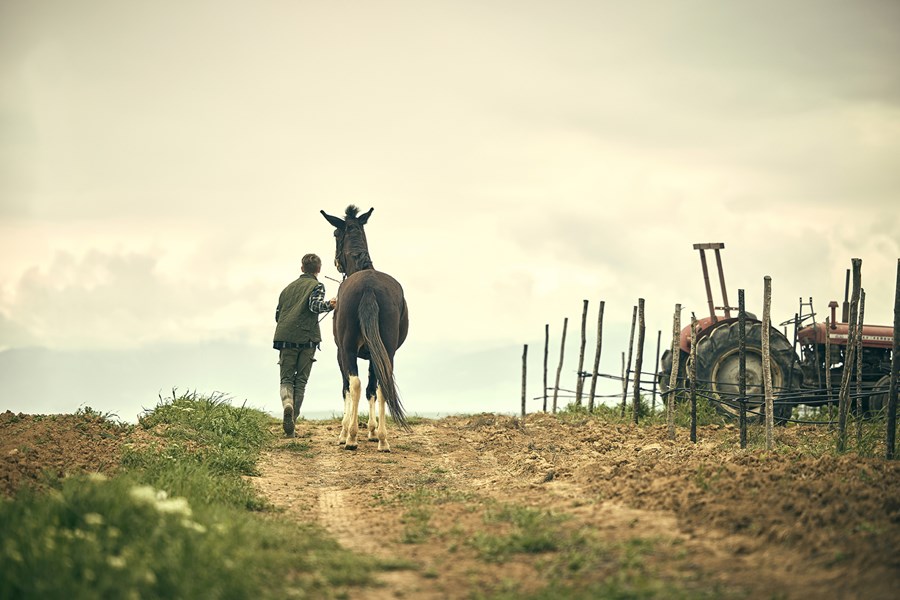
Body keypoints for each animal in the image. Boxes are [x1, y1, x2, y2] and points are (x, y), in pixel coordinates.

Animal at [322, 206, 410, 450]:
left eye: (335, 234)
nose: (336, 263)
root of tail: (369, 286)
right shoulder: (374, 354)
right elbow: (373, 388)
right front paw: (372, 431)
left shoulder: (340, 353)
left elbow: (347, 388)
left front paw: (344, 432)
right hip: (387, 349)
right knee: (381, 385)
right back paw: (383, 439)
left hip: (348, 349)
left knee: (354, 384)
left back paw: (351, 437)